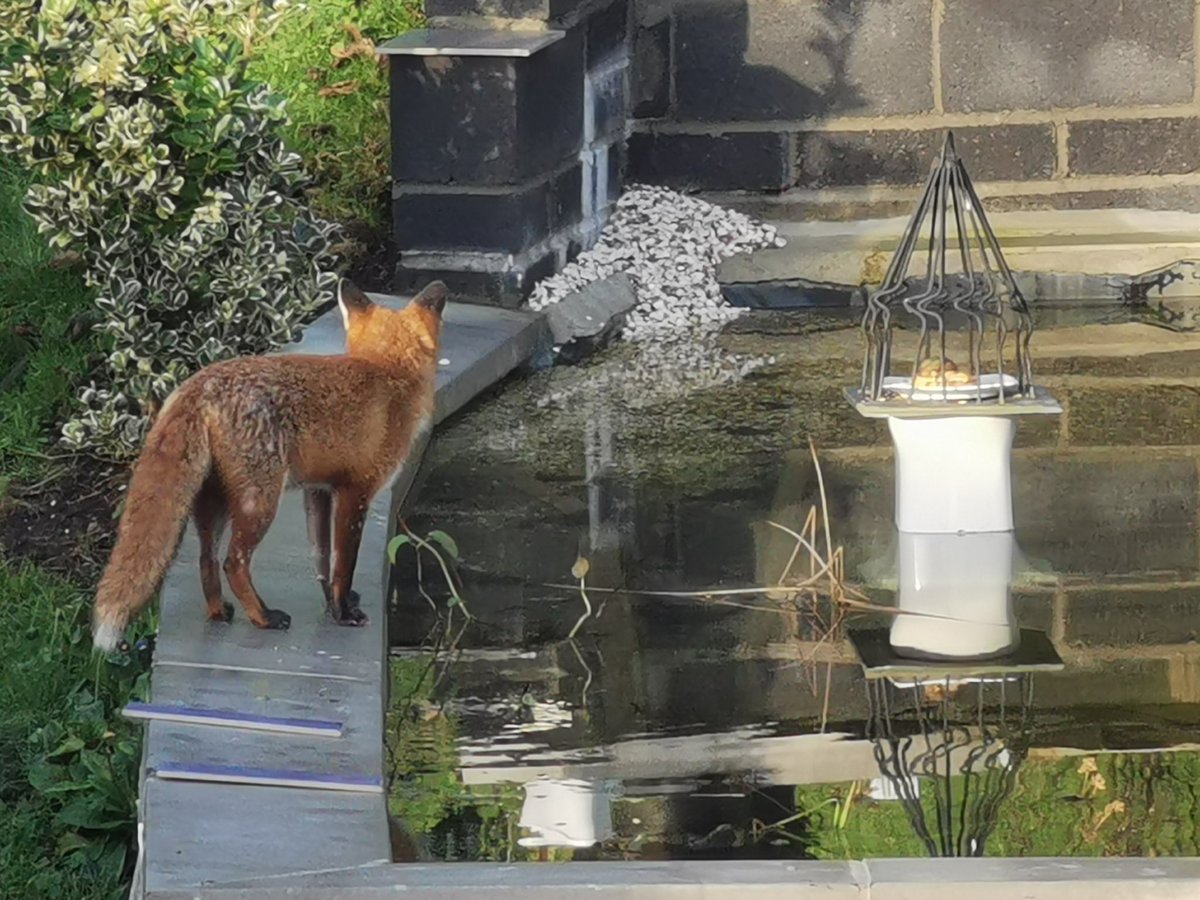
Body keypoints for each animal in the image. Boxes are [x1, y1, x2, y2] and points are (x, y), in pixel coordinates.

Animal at [91, 279, 447, 653]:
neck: (388, 372)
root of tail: (200, 382)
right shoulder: (356, 491)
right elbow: (343, 565)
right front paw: (343, 611)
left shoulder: (318, 490)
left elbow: (321, 559)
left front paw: (331, 605)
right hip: (259, 501)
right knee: (233, 562)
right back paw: (263, 617)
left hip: (214, 503)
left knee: (207, 560)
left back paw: (219, 611)